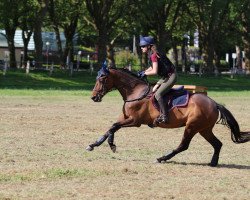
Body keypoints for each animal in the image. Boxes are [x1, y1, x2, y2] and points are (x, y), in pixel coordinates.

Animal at [85, 65, 248, 166]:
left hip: (192, 127)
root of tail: (214, 103)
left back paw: (162, 158)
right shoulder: (125, 118)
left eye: (102, 79)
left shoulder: (135, 121)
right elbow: (112, 127)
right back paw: (213, 163)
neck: (135, 91)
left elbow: (114, 127)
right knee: (217, 144)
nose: (93, 97)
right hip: (204, 129)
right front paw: (100, 144)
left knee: (184, 145)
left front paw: (103, 145)